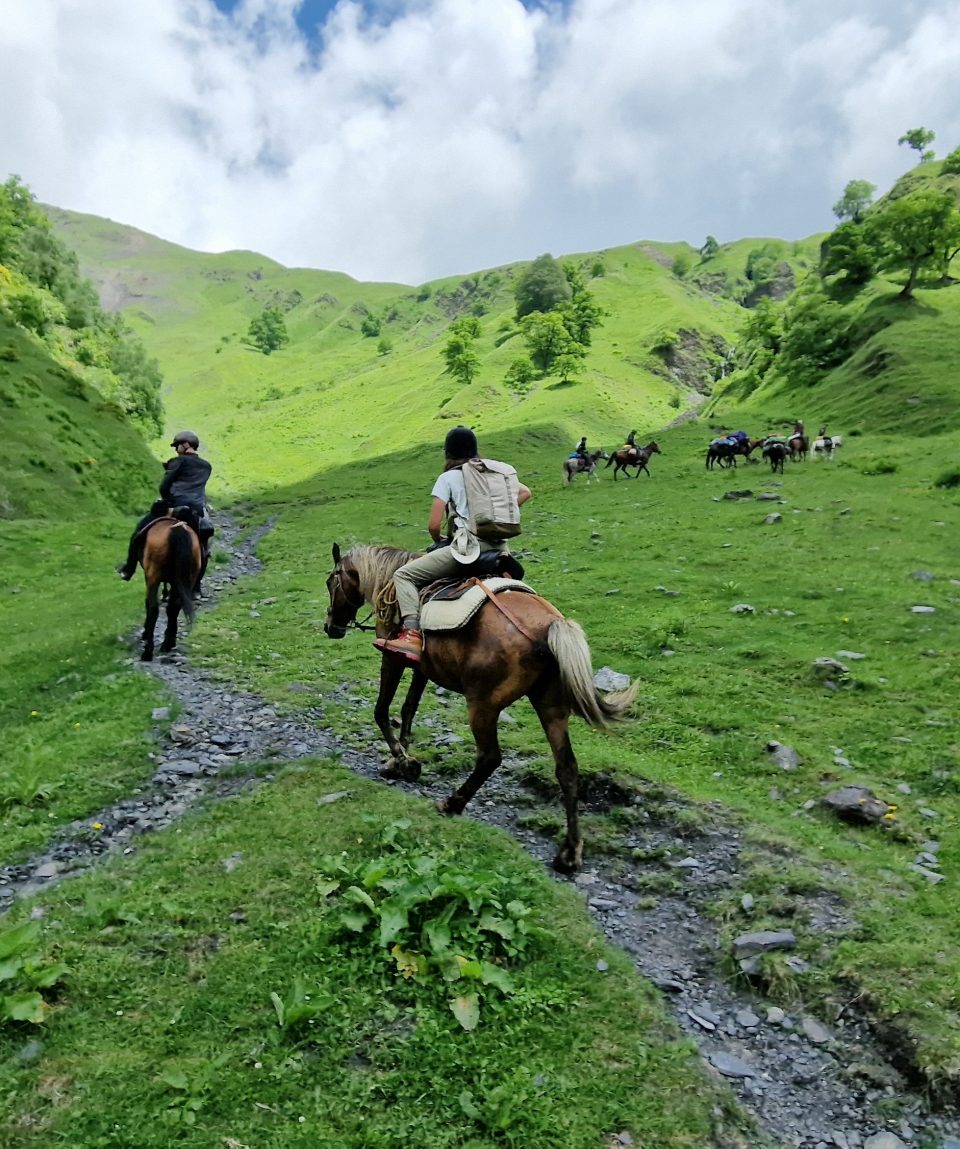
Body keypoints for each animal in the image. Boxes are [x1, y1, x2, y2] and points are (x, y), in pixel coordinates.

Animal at [137, 517, 202, 661]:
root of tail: (177, 531)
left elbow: (149, 604)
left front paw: (145, 633)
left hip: (153, 575)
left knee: (153, 608)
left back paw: (148, 651)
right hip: (187, 578)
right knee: (174, 607)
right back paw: (168, 643)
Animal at [323, 540, 638, 868]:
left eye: (330, 582)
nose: (330, 627)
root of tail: (551, 625)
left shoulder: (392, 658)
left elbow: (382, 711)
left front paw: (404, 762)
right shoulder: (422, 667)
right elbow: (408, 710)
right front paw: (397, 762)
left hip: (483, 705)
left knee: (489, 758)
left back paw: (452, 803)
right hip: (551, 706)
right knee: (567, 768)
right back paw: (570, 851)